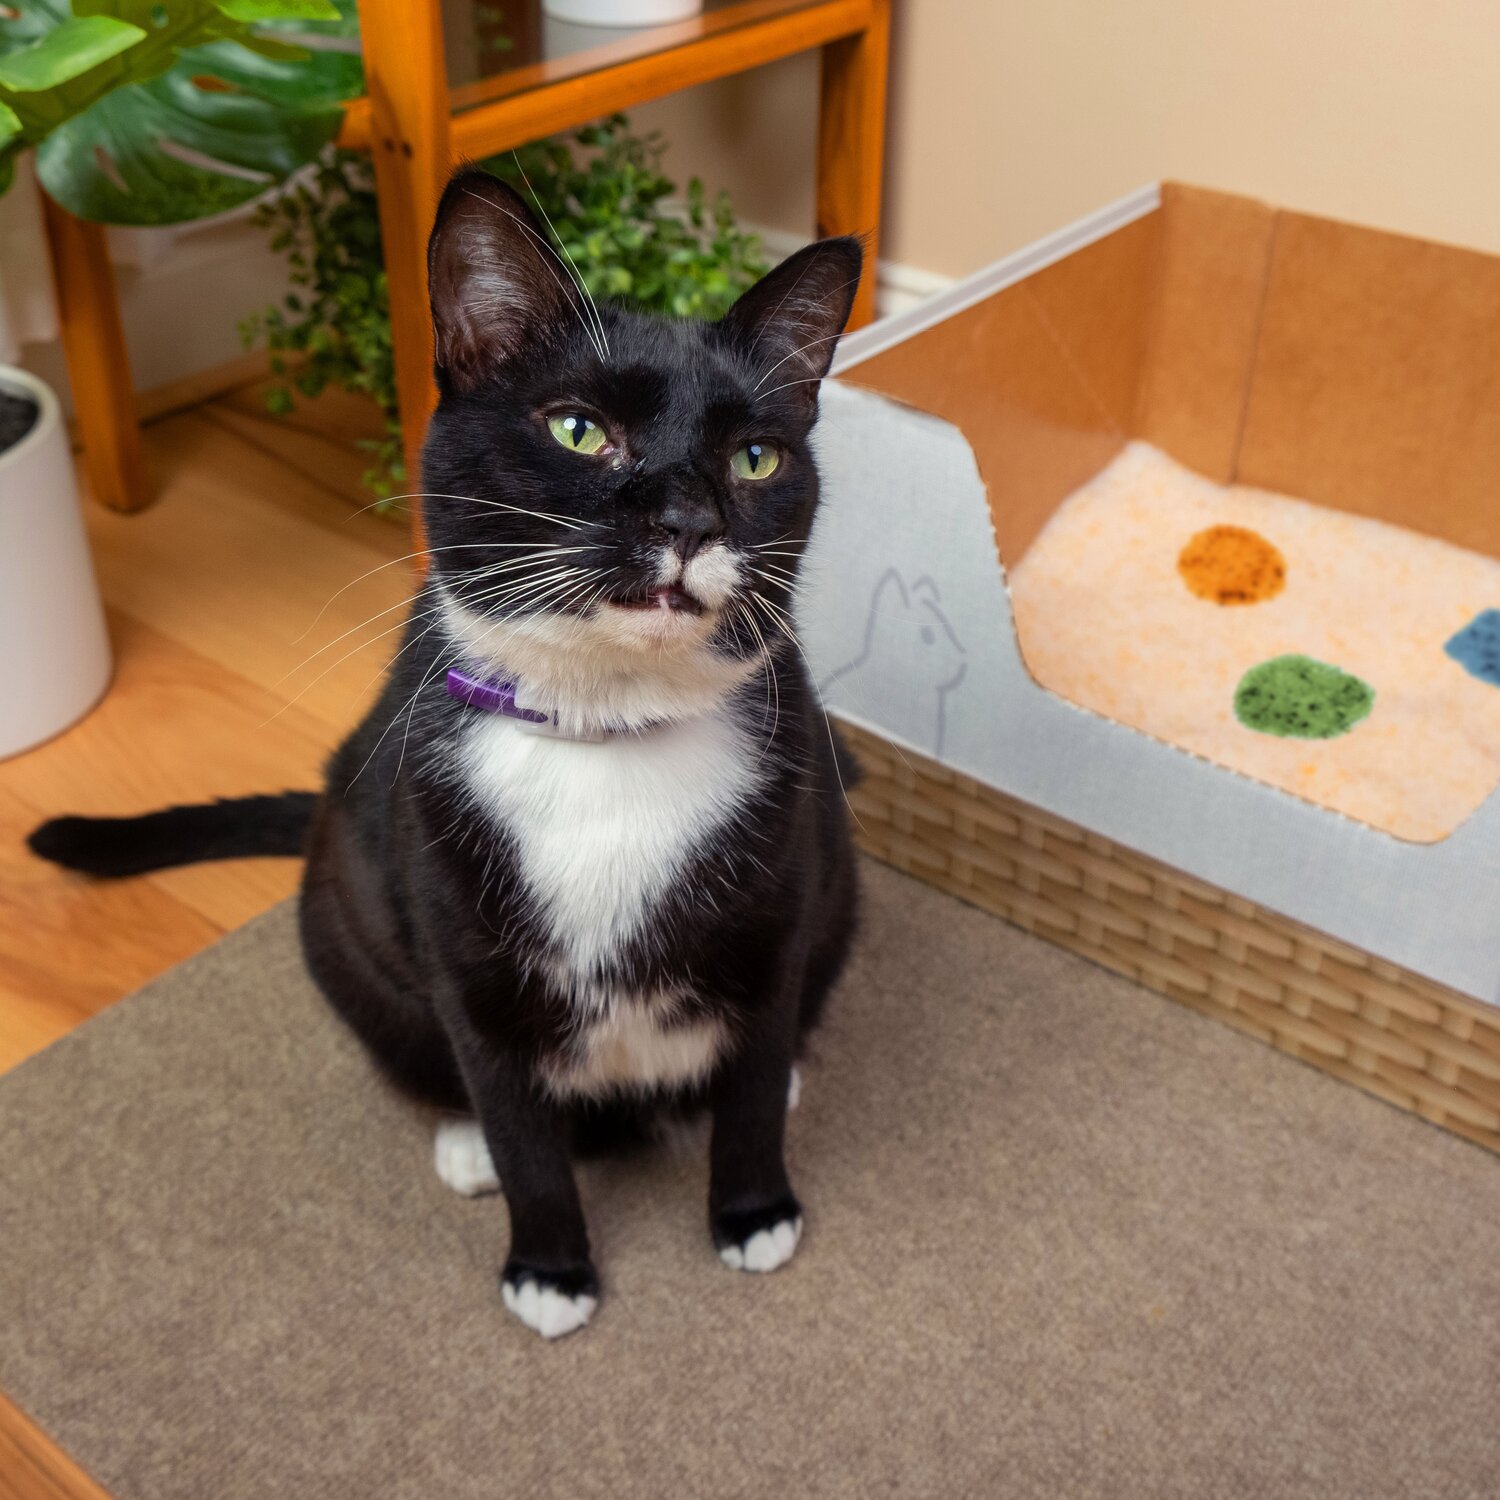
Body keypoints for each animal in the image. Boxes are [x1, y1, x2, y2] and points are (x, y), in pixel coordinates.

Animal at [29, 170, 864, 1344]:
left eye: (757, 457)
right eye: (579, 430)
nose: (690, 518)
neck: (606, 735)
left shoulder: (780, 899)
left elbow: (747, 1084)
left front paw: (753, 1210)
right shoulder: (463, 951)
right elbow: (521, 1129)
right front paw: (551, 1269)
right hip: (340, 927)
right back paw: (465, 1143)